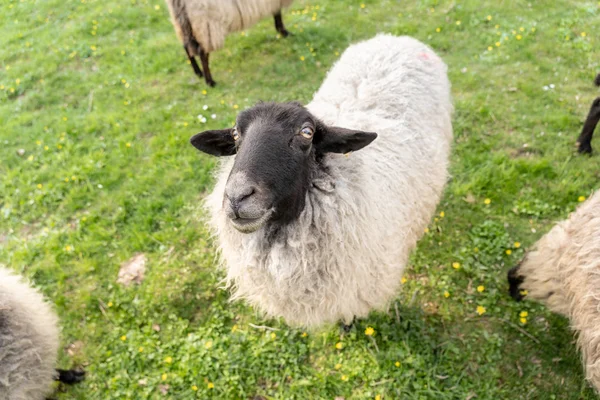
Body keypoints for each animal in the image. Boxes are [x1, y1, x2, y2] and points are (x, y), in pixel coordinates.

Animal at [164, 0, 296, 86]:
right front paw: (284, 32)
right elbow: (277, 13)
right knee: (202, 52)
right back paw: (210, 82)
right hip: (205, 22)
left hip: (183, 22)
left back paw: (198, 73)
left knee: (186, 47)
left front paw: (282, 32)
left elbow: (277, 13)